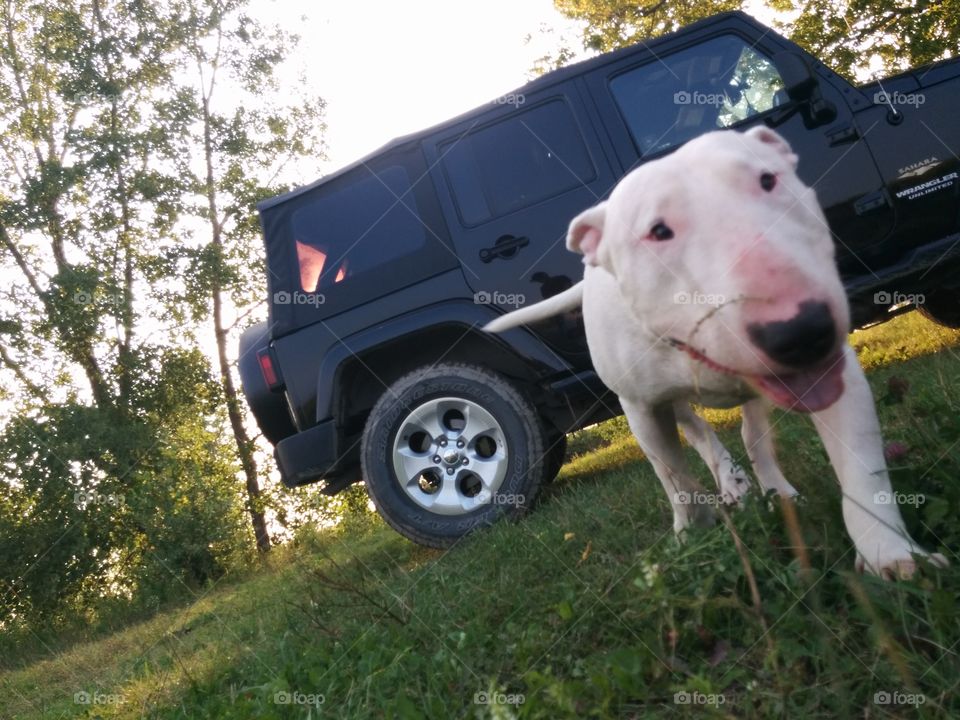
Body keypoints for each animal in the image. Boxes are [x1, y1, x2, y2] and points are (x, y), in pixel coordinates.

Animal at [488, 126, 944, 580]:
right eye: (657, 231)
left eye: (768, 180)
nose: (802, 330)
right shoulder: (640, 407)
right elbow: (674, 479)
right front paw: (691, 536)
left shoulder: (835, 373)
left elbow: (861, 466)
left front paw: (891, 555)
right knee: (698, 431)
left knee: (751, 435)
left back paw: (774, 489)